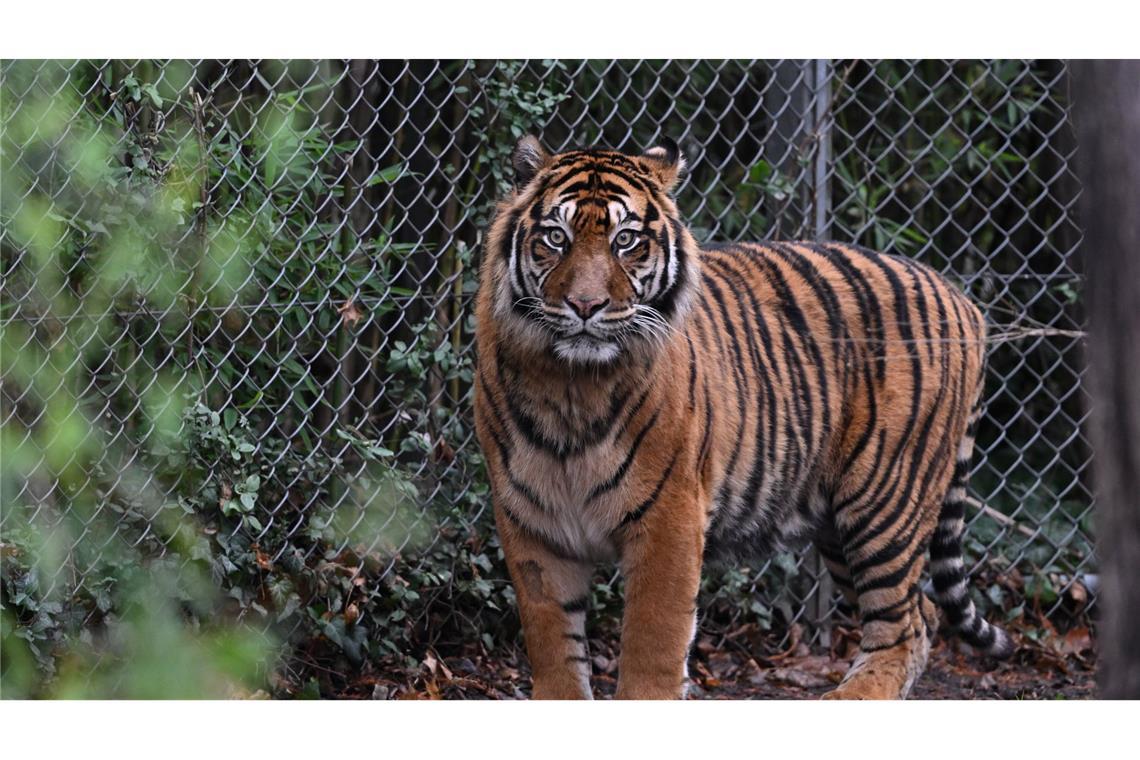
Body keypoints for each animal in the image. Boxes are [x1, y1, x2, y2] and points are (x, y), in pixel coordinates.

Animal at [471, 133, 1016, 697]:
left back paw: (851, 696)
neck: (571, 386)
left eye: (626, 241)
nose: (585, 305)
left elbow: (651, 645)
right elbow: (552, 644)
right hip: (838, 523)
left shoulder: (669, 517)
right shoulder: (530, 522)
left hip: (885, 499)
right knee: (923, 613)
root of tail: (962, 298)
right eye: (555, 237)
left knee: (904, 624)